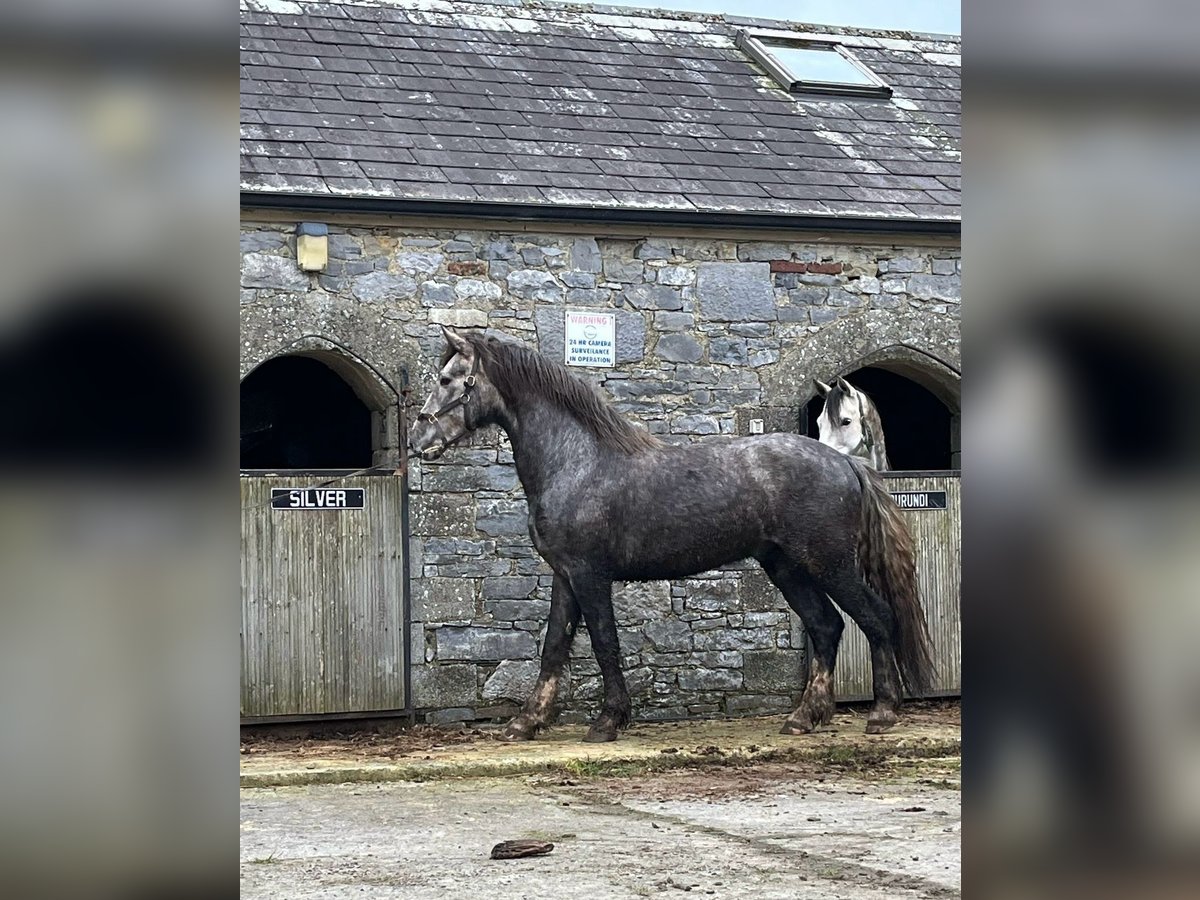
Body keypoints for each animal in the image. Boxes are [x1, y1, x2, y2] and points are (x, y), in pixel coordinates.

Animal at [412, 331, 936, 748]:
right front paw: (527, 722)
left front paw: (608, 721)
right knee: (826, 626)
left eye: (449, 379)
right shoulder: (565, 574)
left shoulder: (589, 575)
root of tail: (846, 463)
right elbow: (553, 646)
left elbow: (603, 641)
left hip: (829, 564)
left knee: (875, 618)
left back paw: (881, 713)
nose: (419, 440)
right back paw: (805, 717)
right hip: (787, 566)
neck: (577, 461)